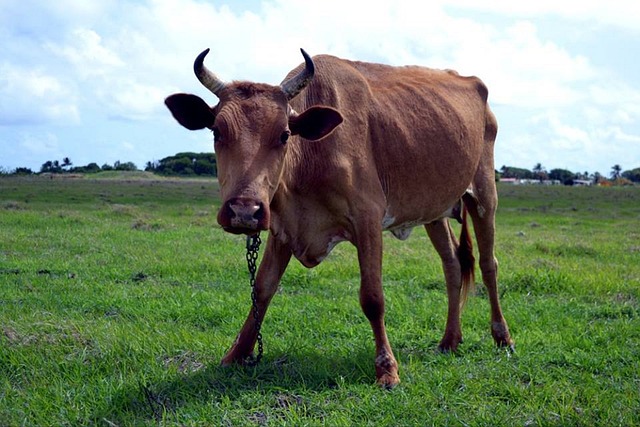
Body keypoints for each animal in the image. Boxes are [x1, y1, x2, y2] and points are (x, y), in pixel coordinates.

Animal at [166, 48, 516, 390]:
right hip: (434, 211)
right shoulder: (282, 228)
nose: (244, 211)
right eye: (217, 131)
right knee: (453, 264)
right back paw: (449, 340)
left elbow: (373, 297)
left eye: (284, 134)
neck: (312, 155)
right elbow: (262, 290)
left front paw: (387, 369)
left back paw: (502, 337)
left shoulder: (368, 219)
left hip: (484, 195)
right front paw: (237, 353)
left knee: (489, 264)